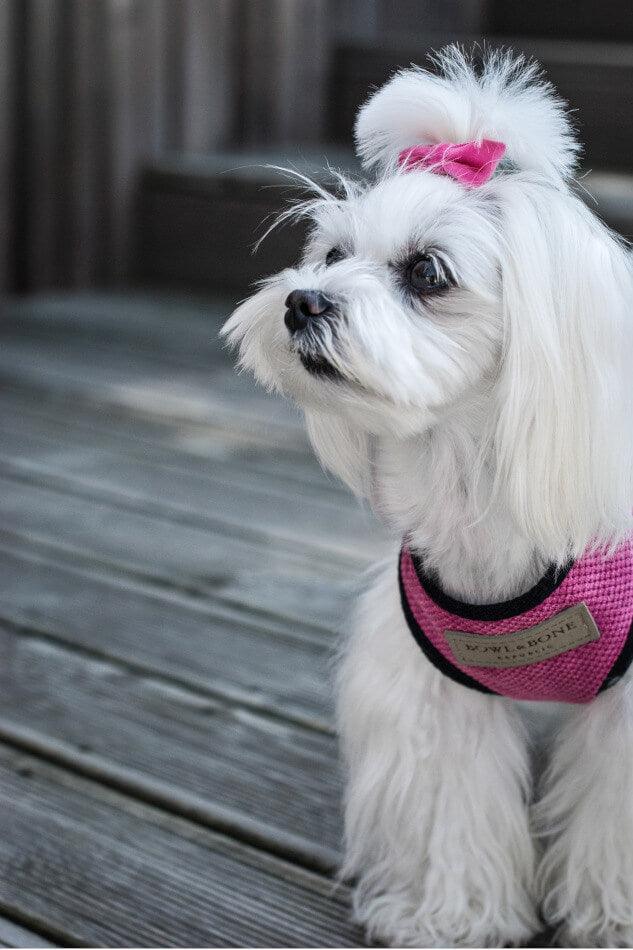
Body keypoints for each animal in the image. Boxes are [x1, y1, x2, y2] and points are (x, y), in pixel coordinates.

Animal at [223, 48, 633, 948]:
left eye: (426, 272)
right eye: (331, 252)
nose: (301, 301)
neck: (471, 478)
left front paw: (610, 913)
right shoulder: (438, 692)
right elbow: (454, 805)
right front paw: (447, 916)